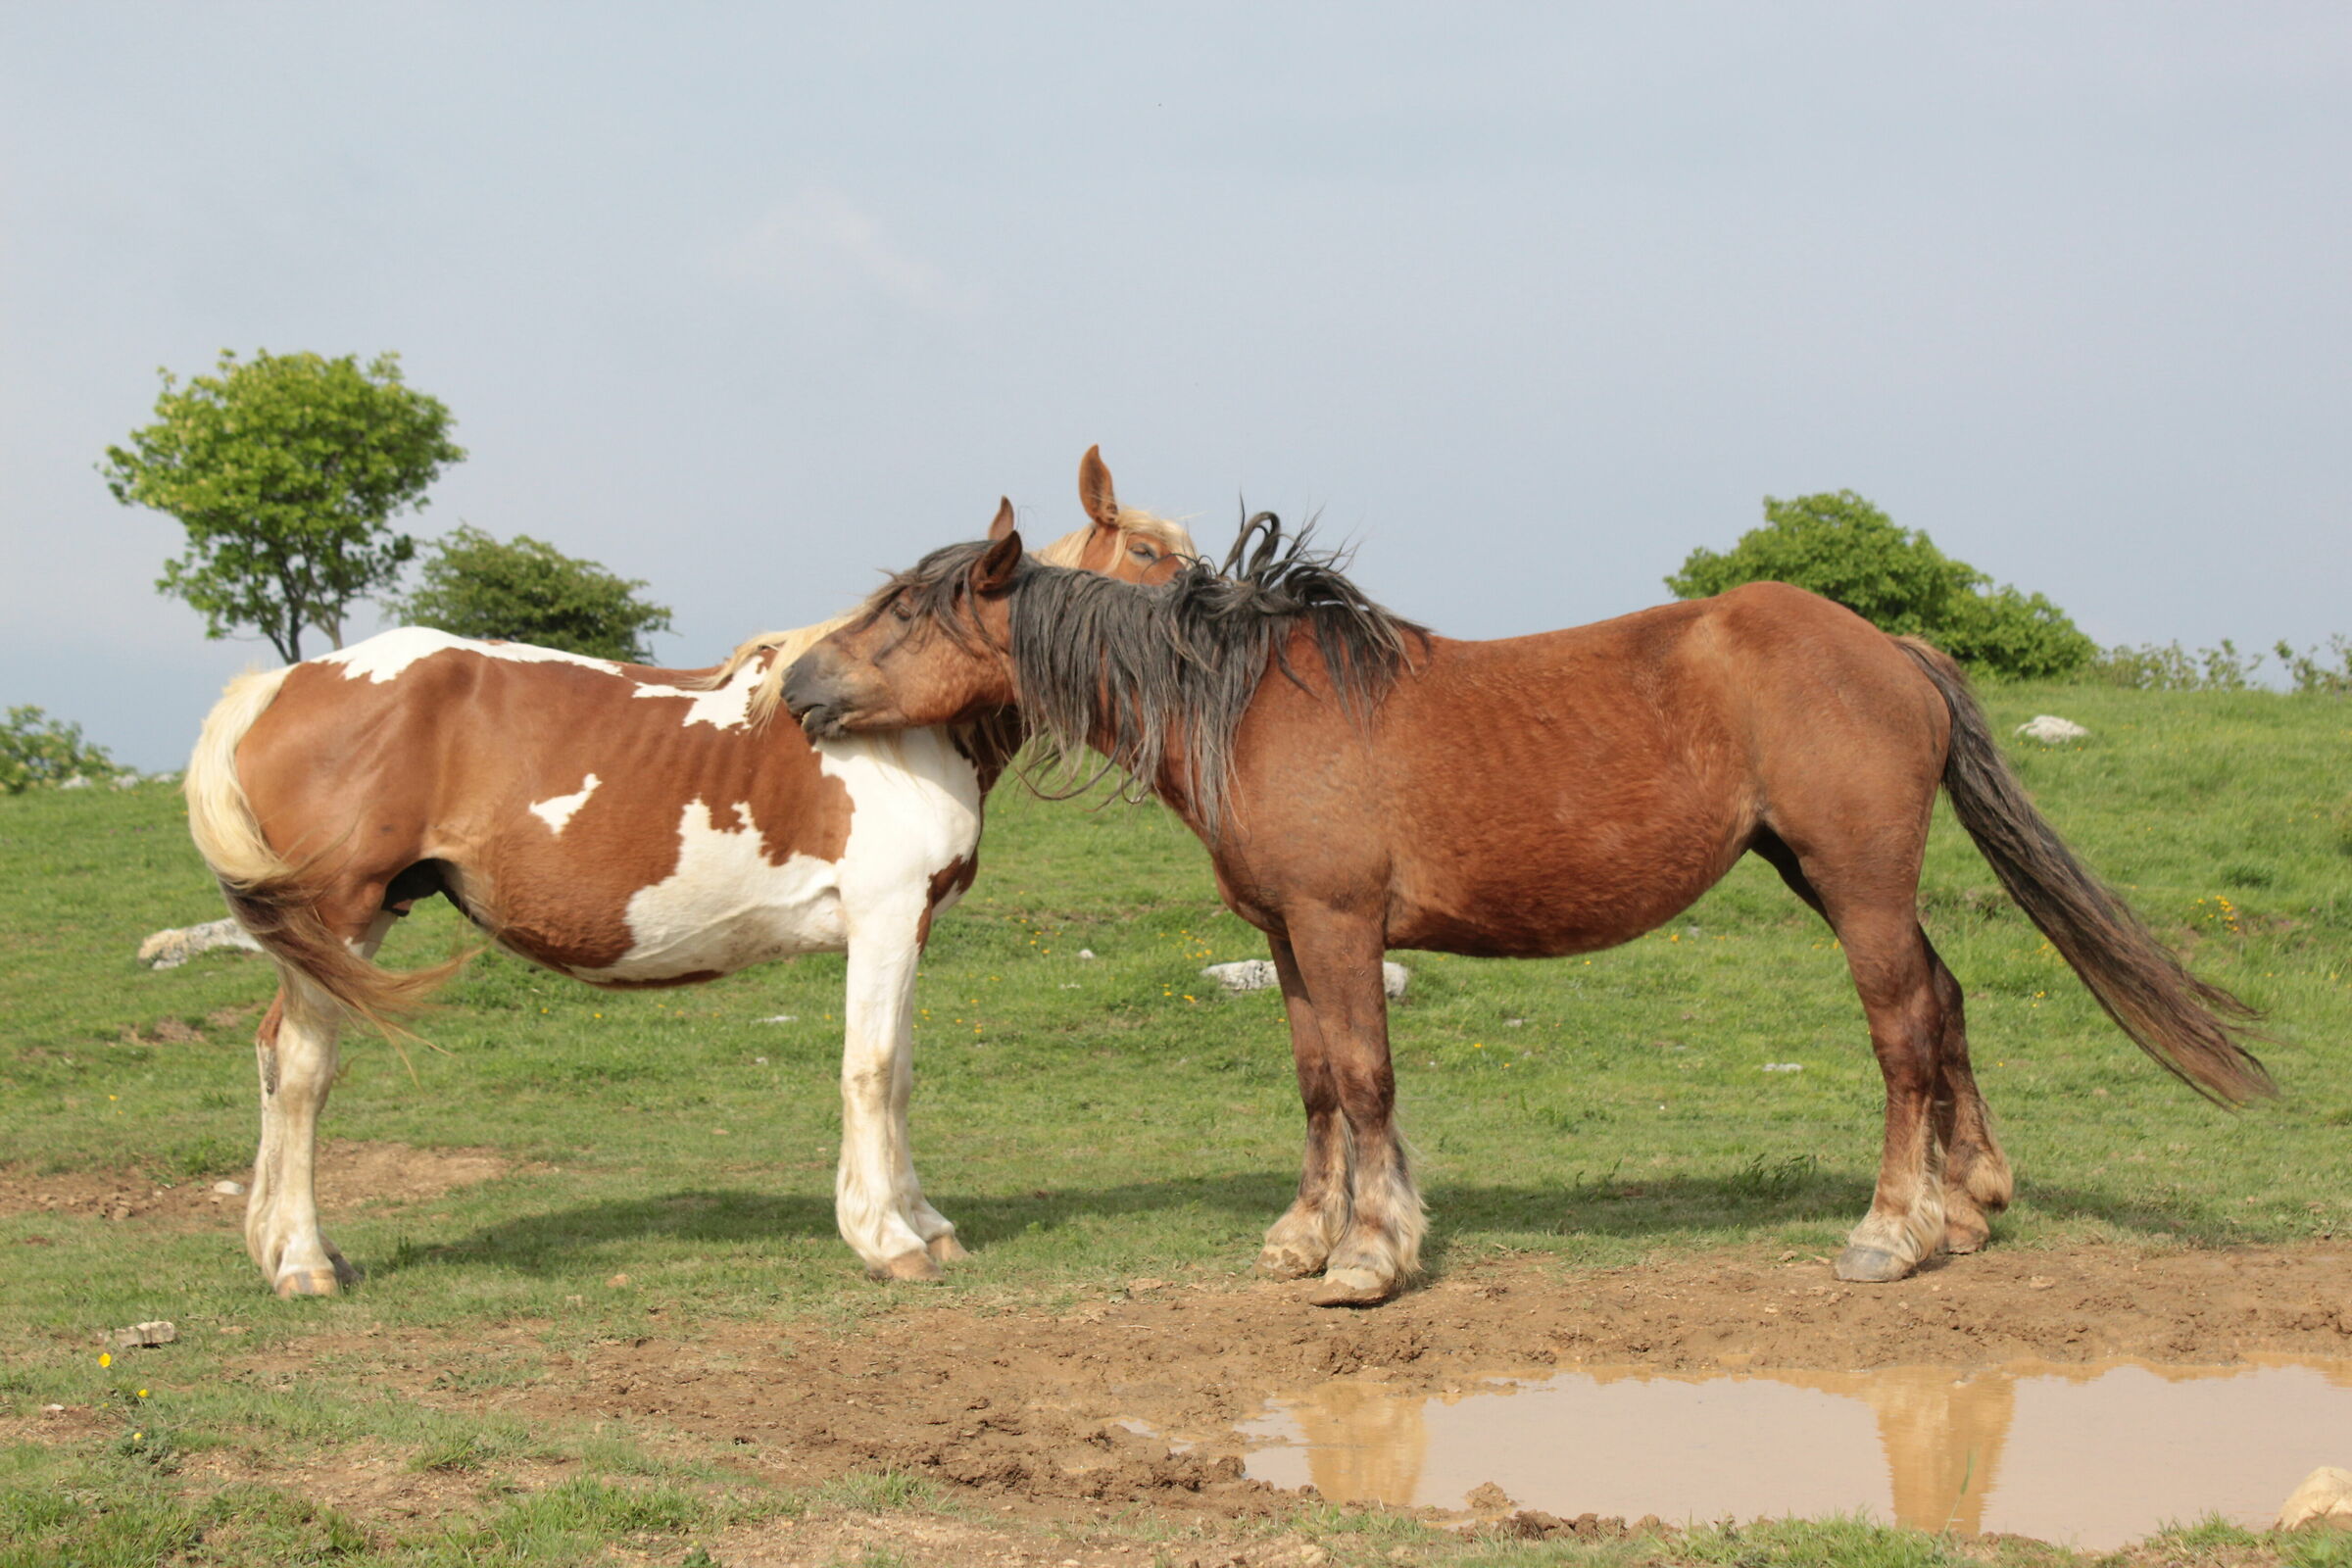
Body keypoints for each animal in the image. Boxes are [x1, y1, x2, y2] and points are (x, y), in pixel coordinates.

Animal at [183, 448, 1193, 1297]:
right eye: (1149, 552)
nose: (1213, 619)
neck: (908, 732)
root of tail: (283, 684)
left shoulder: (908, 926)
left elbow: (899, 1072)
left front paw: (927, 1224)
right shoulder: (884, 915)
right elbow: (870, 1072)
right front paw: (888, 1240)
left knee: (275, 1058)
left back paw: (285, 1246)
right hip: (340, 916)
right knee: (304, 1068)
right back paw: (305, 1263)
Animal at [779, 517, 2273, 1306]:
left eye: (904, 614)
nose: (797, 689)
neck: (1245, 706)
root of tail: (1888, 646)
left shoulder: (1339, 925)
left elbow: (1367, 1083)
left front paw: (1372, 1255)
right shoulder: (1287, 937)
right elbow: (1317, 1085)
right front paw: (1304, 1236)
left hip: (1855, 879)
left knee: (1904, 1030)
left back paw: (1893, 1231)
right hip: (1824, 870)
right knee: (1948, 1005)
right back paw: (1969, 1209)